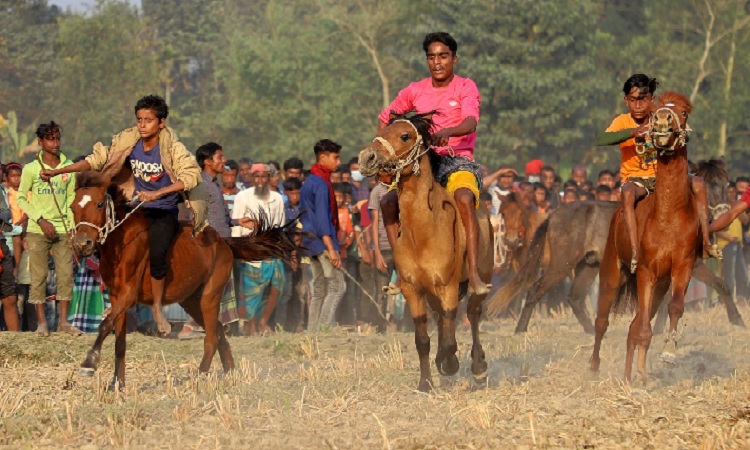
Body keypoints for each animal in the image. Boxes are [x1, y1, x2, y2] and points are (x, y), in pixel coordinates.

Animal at [70, 172, 294, 390]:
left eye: (99, 204)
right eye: (73, 206)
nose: (83, 243)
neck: (122, 242)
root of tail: (224, 242)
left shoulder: (128, 294)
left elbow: (105, 325)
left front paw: (89, 363)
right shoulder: (117, 296)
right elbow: (119, 341)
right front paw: (117, 384)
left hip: (210, 294)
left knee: (211, 337)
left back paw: (200, 376)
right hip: (191, 300)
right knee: (218, 330)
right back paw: (230, 372)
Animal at [358, 112, 494, 390]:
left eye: (405, 135)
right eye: (383, 131)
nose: (367, 158)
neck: (422, 233)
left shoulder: (448, 286)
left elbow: (451, 335)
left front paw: (450, 364)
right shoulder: (413, 289)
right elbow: (423, 340)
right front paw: (426, 382)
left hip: (481, 277)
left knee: (473, 314)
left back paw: (478, 367)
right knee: (441, 318)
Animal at [592, 91, 704, 380]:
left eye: (684, 111)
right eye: (655, 111)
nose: (663, 121)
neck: (667, 219)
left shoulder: (682, 266)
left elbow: (675, 307)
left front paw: (668, 354)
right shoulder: (645, 271)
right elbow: (642, 328)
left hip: (660, 284)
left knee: (634, 325)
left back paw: (630, 376)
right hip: (612, 271)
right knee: (602, 320)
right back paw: (594, 368)